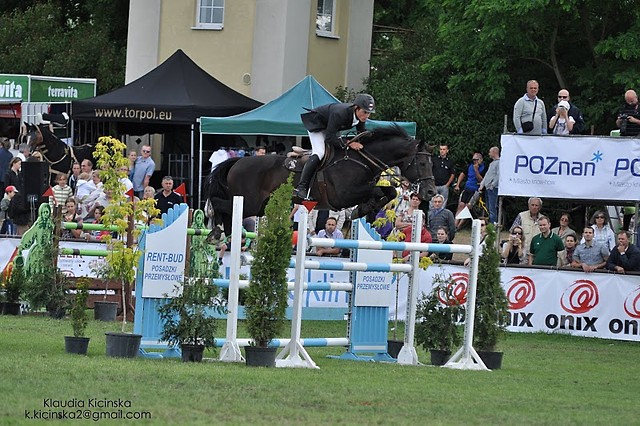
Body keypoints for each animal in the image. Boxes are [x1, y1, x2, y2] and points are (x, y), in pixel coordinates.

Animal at [205, 123, 436, 236]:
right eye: (422, 163)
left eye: (431, 162)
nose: (431, 192)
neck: (362, 159)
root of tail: (237, 162)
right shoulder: (342, 196)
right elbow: (379, 192)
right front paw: (360, 209)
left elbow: (388, 192)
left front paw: (362, 210)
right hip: (249, 203)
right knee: (219, 204)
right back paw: (215, 230)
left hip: (259, 206)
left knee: (228, 211)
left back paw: (223, 235)